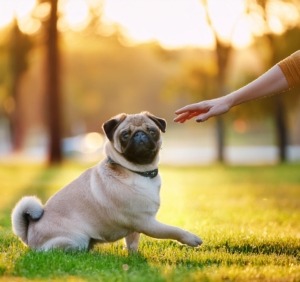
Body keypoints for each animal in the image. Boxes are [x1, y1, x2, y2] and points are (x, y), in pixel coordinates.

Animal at [12, 111, 203, 250]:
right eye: (125, 135)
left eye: (152, 131)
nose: (139, 135)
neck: (136, 171)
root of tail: (28, 235)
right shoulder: (145, 222)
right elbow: (172, 230)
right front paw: (191, 238)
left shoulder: (135, 227)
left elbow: (132, 243)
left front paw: (135, 258)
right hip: (76, 239)